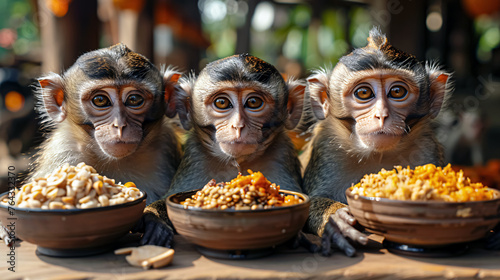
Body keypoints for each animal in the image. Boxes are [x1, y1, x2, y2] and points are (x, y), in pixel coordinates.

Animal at [139, 53, 306, 247]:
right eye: (222, 102)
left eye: (254, 102)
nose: (238, 126)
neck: (237, 164)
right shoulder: (196, 157)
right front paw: (155, 220)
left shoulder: (281, 154)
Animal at [300, 27, 454, 258]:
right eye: (364, 93)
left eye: (397, 91)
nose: (381, 115)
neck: (376, 154)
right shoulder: (325, 147)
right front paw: (334, 220)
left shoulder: (427, 150)